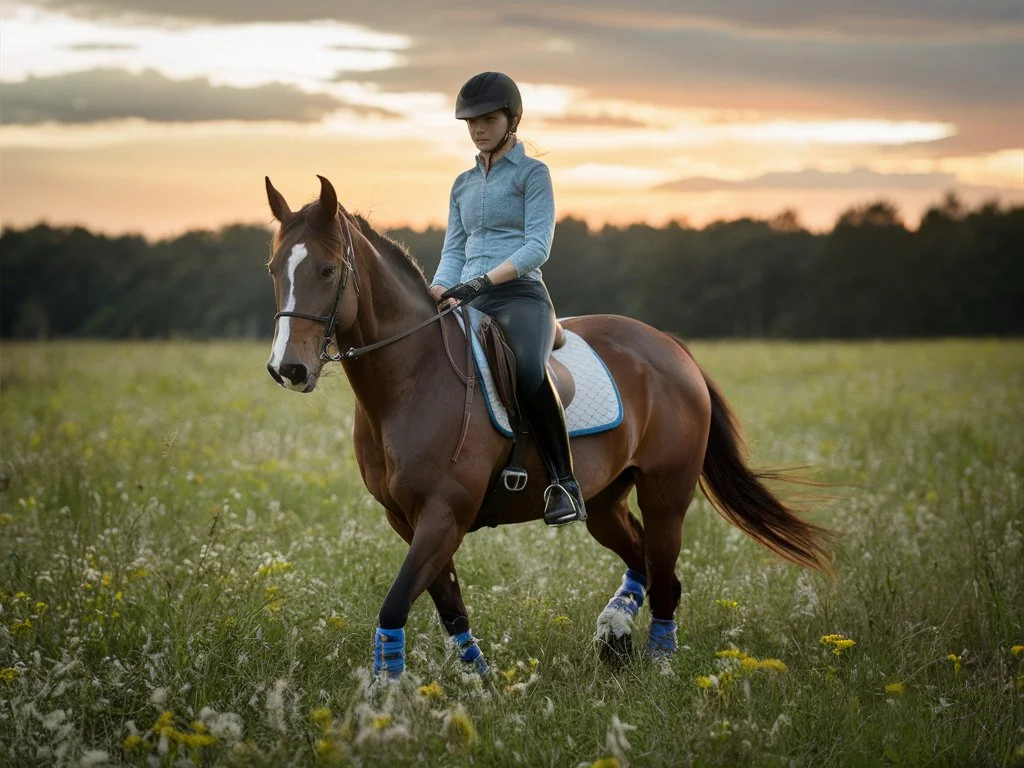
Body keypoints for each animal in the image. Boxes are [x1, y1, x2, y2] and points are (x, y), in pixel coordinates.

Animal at [262, 176, 831, 679]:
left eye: (328, 270)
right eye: (273, 269)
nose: (288, 369)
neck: (412, 380)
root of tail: (669, 346)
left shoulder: (444, 514)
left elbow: (396, 604)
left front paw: (386, 693)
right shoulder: (407, 519)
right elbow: (449, 605)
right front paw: (477, 681)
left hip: (666, 494)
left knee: (667, 578)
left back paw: (660, 662)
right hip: (604, 501)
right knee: (643, 560)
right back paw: (614, 634)